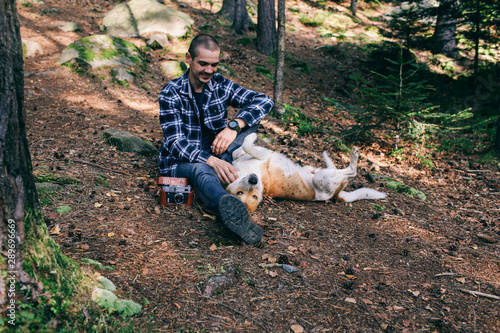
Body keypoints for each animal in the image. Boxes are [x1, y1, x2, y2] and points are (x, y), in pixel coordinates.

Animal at [227, 133, 386, 213]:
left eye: (254, 196)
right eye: (240, 193)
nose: (254, 180)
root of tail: (336, 195)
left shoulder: (254, 155)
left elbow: (239, 150)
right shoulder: (260, 155)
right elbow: (246, 146)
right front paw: (252, 136)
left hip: (312, 169)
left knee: (337, 169)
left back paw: (328, 156)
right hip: (321, 178)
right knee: (351, 171)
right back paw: (353, 154)